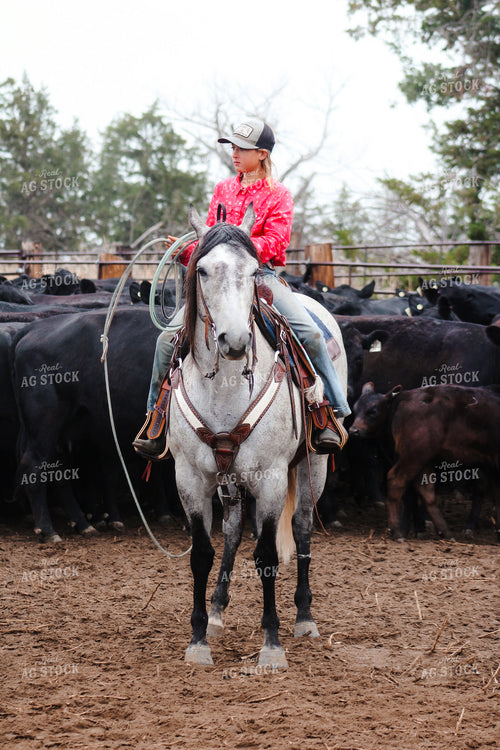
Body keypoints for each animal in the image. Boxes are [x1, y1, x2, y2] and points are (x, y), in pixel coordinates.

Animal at [350, 382, 500, 541]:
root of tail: (406, 396)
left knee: (425, 490)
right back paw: (398, 532)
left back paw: (445, 532)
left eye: (372, 411)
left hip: (423, 457)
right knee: (396, 480)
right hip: (415, 454)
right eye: (355, 410)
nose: (353, 431)